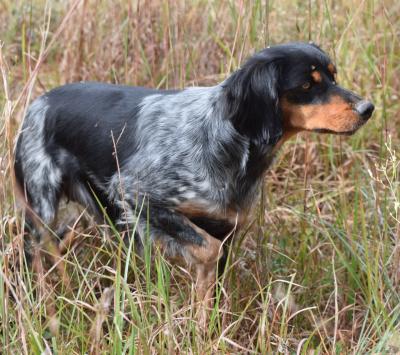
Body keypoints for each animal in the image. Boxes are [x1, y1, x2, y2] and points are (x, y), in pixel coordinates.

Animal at [14, 42, 374, 312]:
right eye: (307, 85)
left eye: (333, 77)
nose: (367, 108)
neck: (227, 139)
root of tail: (38, 102)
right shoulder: (136, 194)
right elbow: (207, 251)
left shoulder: (228, 227)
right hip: (44, 205)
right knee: (35, 252)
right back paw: (41, 302)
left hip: (87, 214)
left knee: (57, 244)